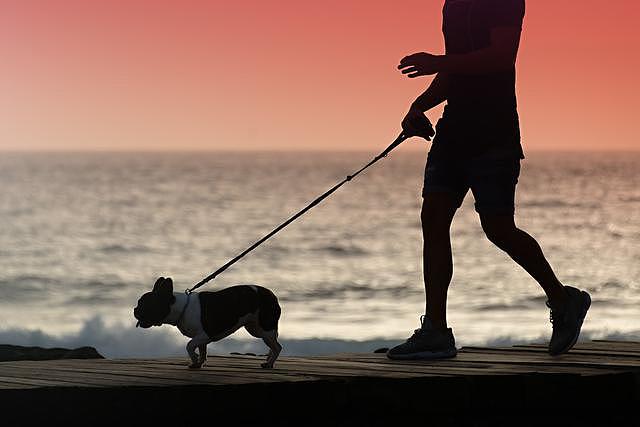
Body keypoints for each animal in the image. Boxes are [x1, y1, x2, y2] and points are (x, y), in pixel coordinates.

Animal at [134, 276, 282, 370]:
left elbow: (189, 346)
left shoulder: (204, 335)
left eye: (144, 304)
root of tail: (273, 296)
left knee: (277, 347)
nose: (134, 309)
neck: (182, 308)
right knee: (272, 345)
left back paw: (269, 364)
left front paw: (194, 359)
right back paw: (268, 361)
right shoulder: (201, 339)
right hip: (256, 329)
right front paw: (198, 364)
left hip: (264, 329)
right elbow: (202, 350)